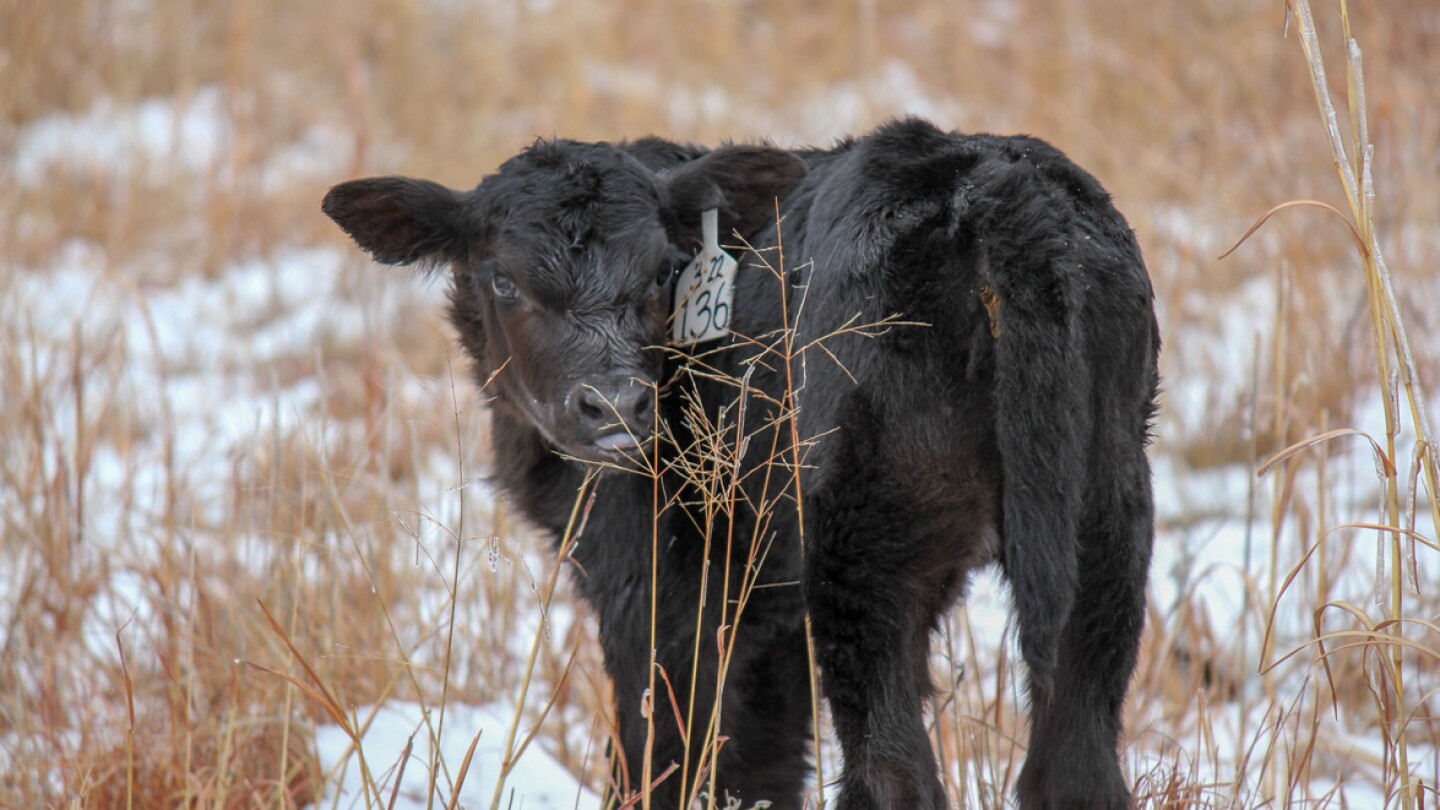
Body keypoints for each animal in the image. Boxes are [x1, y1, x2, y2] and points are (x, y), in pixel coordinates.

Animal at [323, 117, 1160, 810]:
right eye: (503, 279)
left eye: (663, 271)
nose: (615, 407)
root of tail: (997, 186)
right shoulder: (763, 608)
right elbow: (762, 769)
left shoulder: (657, 588)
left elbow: (663, 762)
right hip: (1108, 522)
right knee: (1076, 766)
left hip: (867, 553)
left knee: (893, 772)